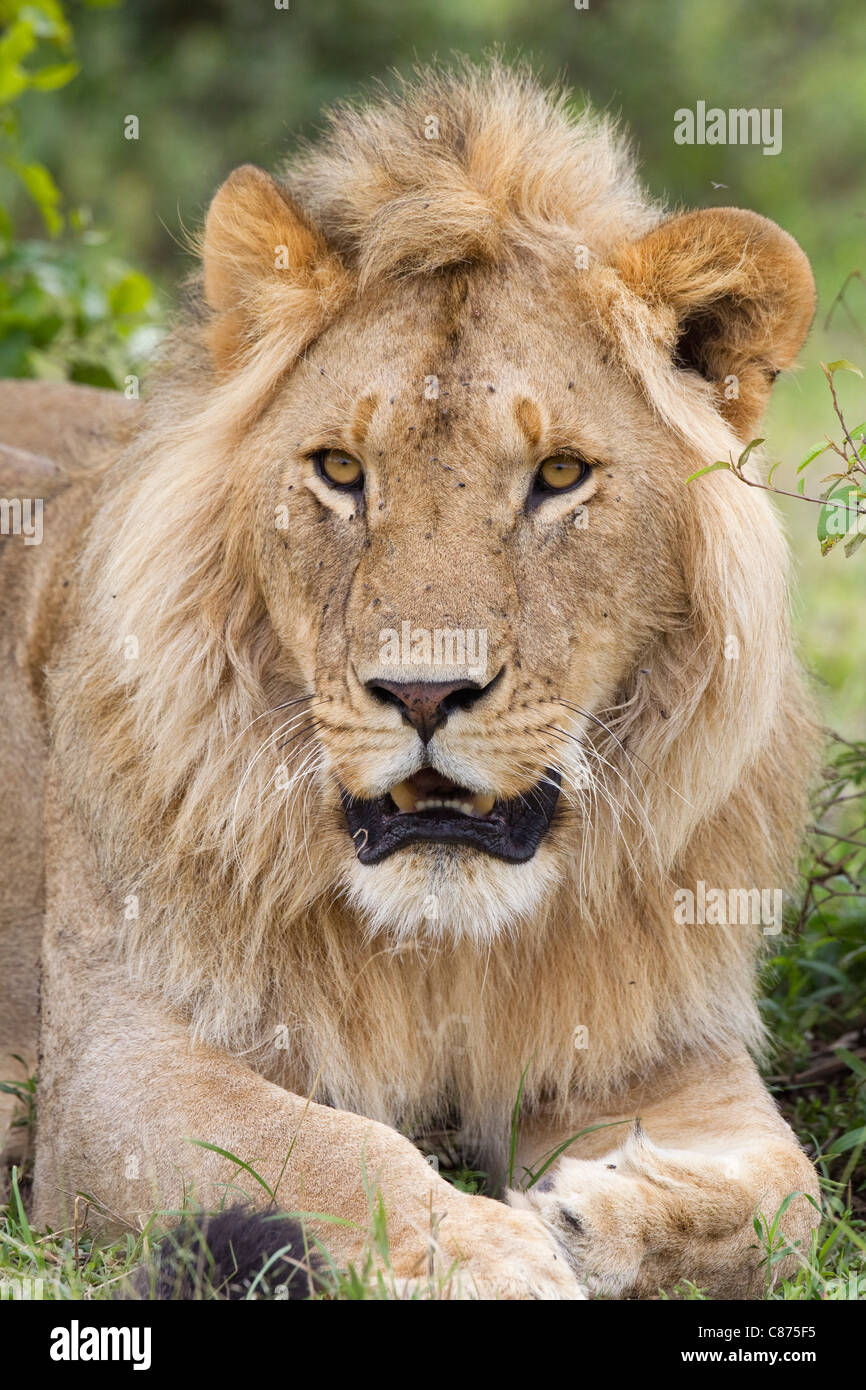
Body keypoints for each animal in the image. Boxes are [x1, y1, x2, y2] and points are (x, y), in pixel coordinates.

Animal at [0, 62, 822, 1299]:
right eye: (341, 470)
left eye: (559, 475)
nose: (423, 697)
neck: (444, 949)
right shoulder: (114, 1064)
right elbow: (327, 1146)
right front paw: (495, 1254)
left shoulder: (655, 1045)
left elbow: (788, 1192)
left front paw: (599, 1212)